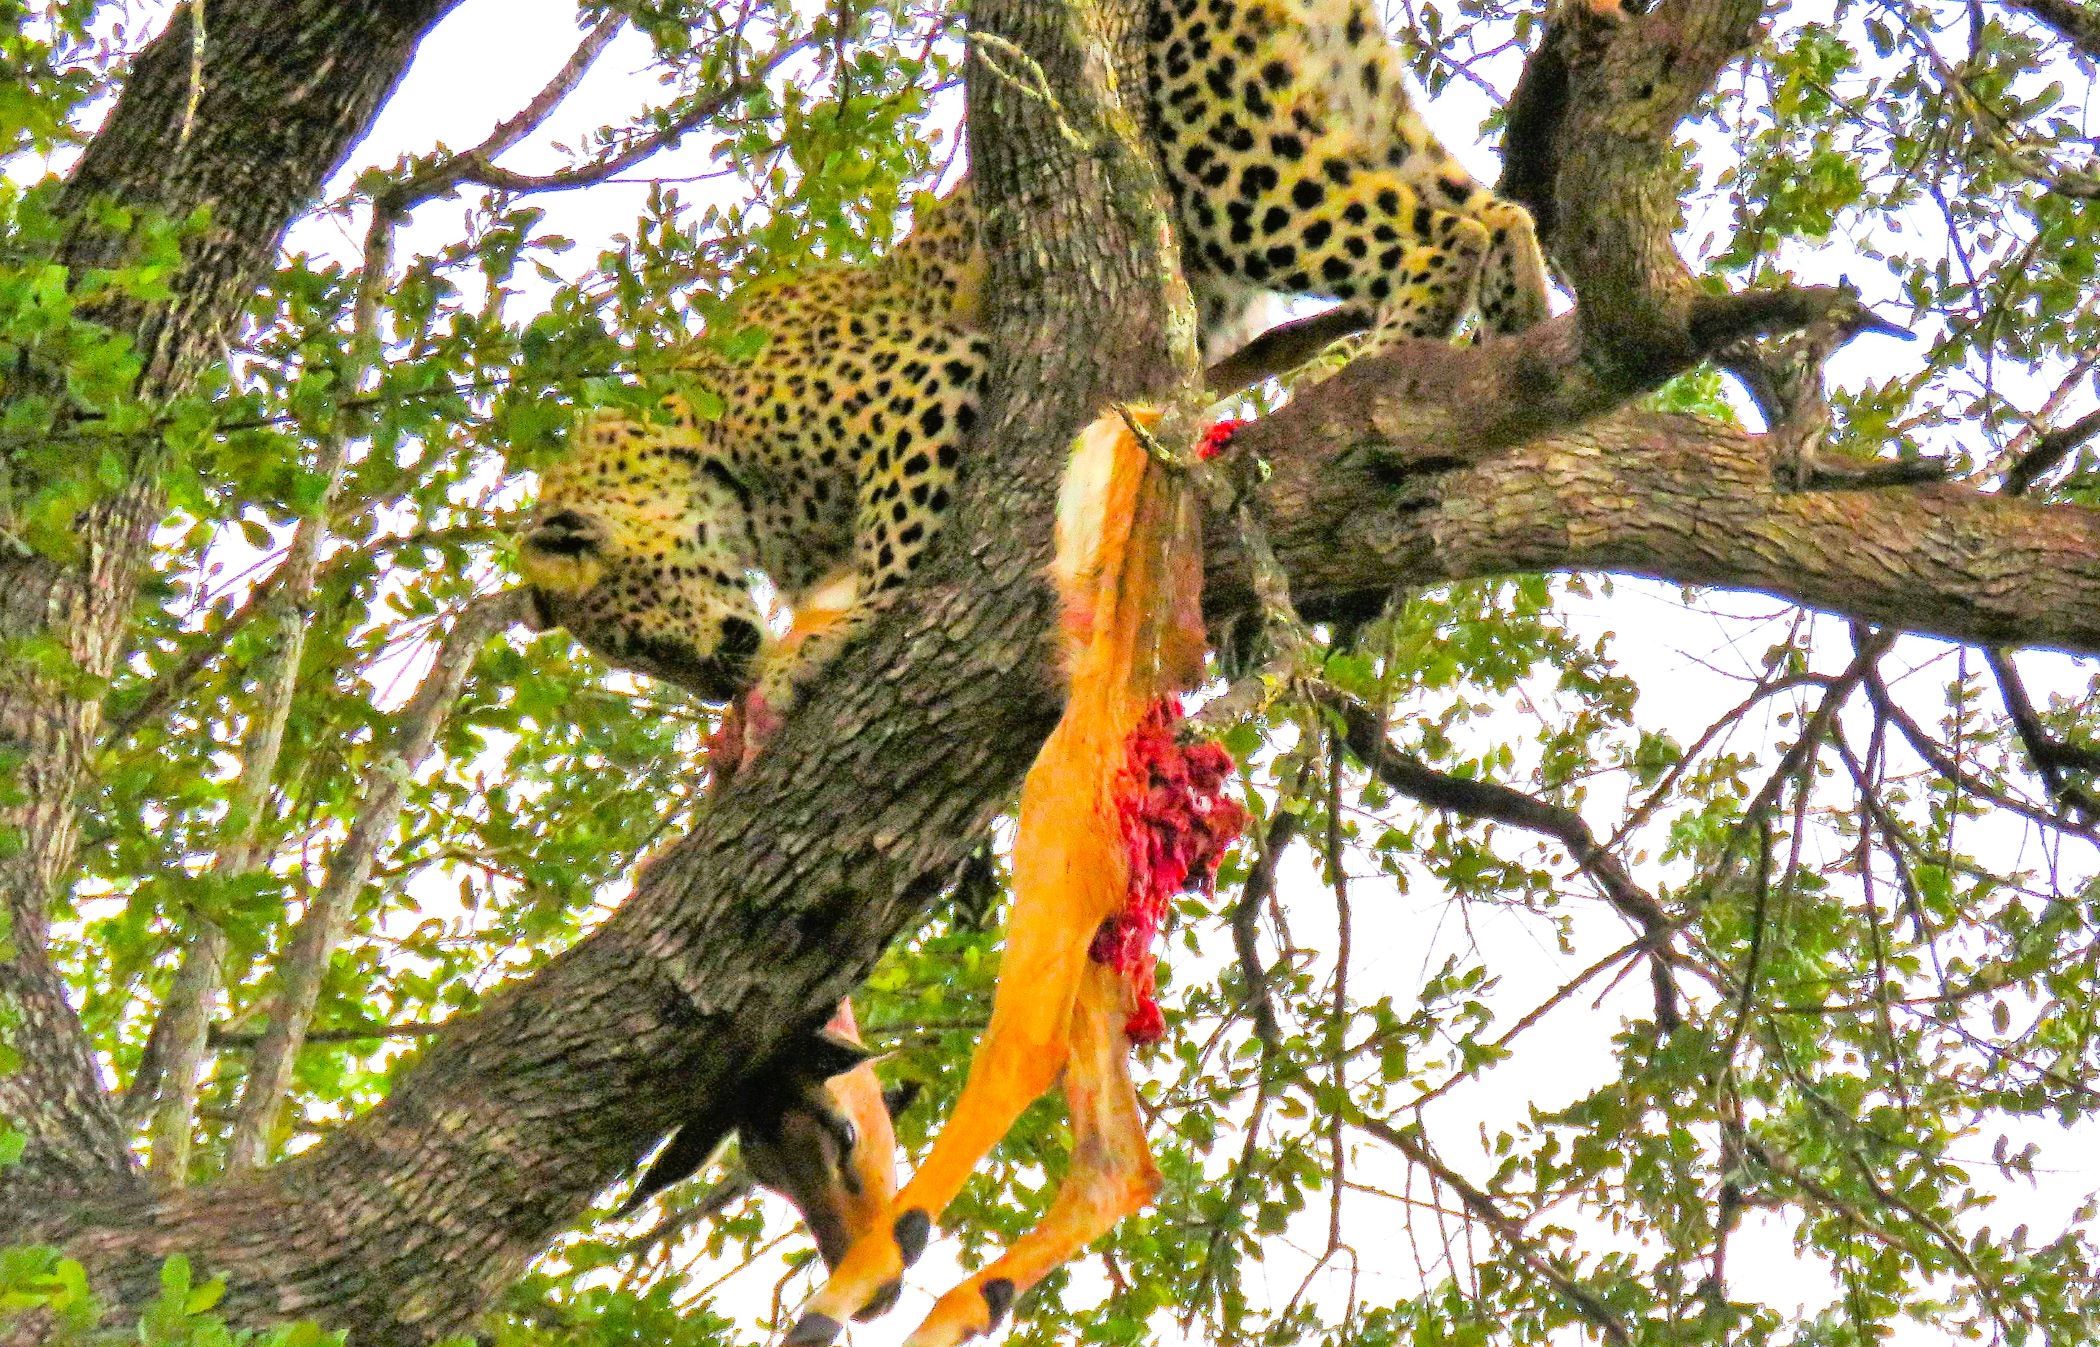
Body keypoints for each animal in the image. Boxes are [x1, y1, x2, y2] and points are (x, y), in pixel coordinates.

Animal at [516, 0, 1579, 718]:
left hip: (1220, 156)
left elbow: (896, 547)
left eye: (633, 628)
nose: (718, 682)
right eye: (642, 659)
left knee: (1434, 237)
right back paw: (1513, 335)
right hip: (1360, 105)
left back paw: (1360, 372)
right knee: (1496, 213)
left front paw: (835, 642)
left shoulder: (924, 380)